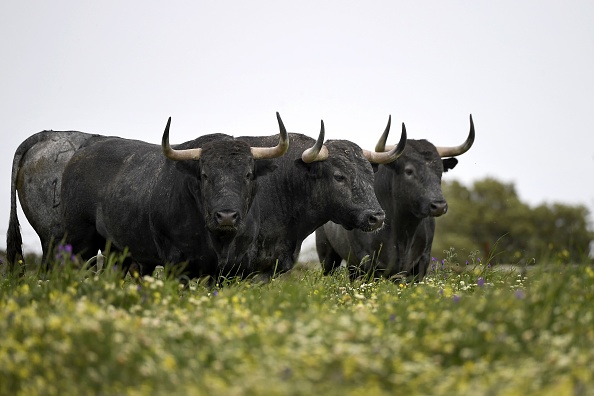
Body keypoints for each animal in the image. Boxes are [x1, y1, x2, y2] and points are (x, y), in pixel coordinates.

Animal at [316, 114, 474, 282]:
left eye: (440, 170)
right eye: (409, 171)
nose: (439, 206)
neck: (402, 232)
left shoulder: (421, 263)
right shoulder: (367, 262)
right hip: (327, 256)